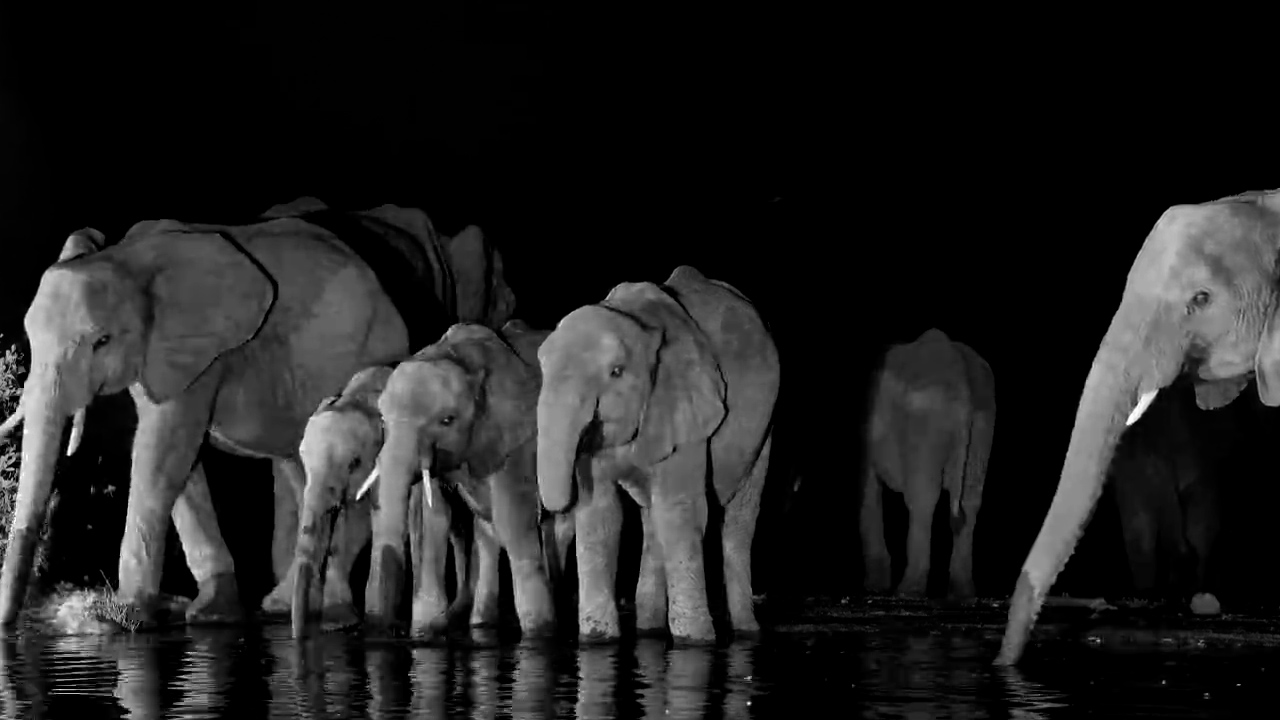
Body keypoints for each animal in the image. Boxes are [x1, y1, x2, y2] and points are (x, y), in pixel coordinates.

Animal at [0, 196, 515, 629]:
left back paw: (320, 613)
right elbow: (177, 460)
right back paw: (282, 605)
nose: (10, 624)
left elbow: (163, 454)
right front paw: (210, 613)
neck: (131, 257)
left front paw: (127, 618)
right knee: (297, 471)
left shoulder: (201, 350)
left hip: (372, 351)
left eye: (102, 341)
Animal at [361, 319, 569, 639]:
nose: (391, 629)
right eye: (382, 420)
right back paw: (480, 623)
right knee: (488, 532)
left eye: (447, 420)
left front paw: (539, 634)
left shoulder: (519, 442)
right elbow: (433, 521)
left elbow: (513, 521)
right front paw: (425, 632)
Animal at [535, 265, 781, 643]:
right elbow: (600, 514)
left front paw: (695, 641)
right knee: (652, 523)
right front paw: (597, 641)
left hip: (764, 429)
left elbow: (680, 511)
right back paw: (649, 630)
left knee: (736, 519)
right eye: (542, 371)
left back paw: (745, 631)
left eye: (616, 372)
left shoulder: (687, 407)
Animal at [860, 328, 996, 600]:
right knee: (971, 500)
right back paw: (962, 593)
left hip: (924, 418)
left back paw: (907, 591)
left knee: (922, 498)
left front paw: (874, 587)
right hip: (983, 421)